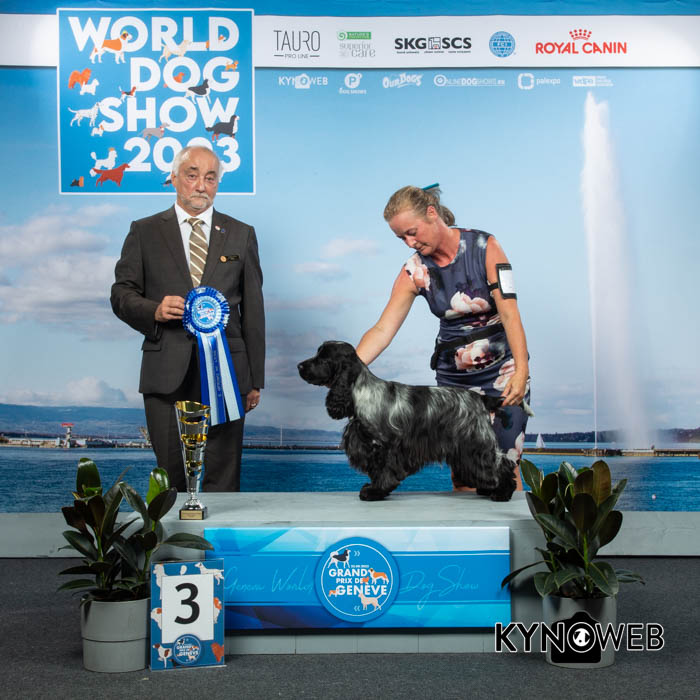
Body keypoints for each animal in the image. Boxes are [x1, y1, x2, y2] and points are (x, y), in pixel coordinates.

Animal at [297, 341, 517, 502]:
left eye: (323, 358)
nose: (299, 366)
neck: (361, 392)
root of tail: (480, 398)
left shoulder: (385, 445)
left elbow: (383, 471)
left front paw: (374, 491)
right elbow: (376, 470)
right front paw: (372, 487)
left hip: (475, 443)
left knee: (500, 465)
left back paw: (502, 493)